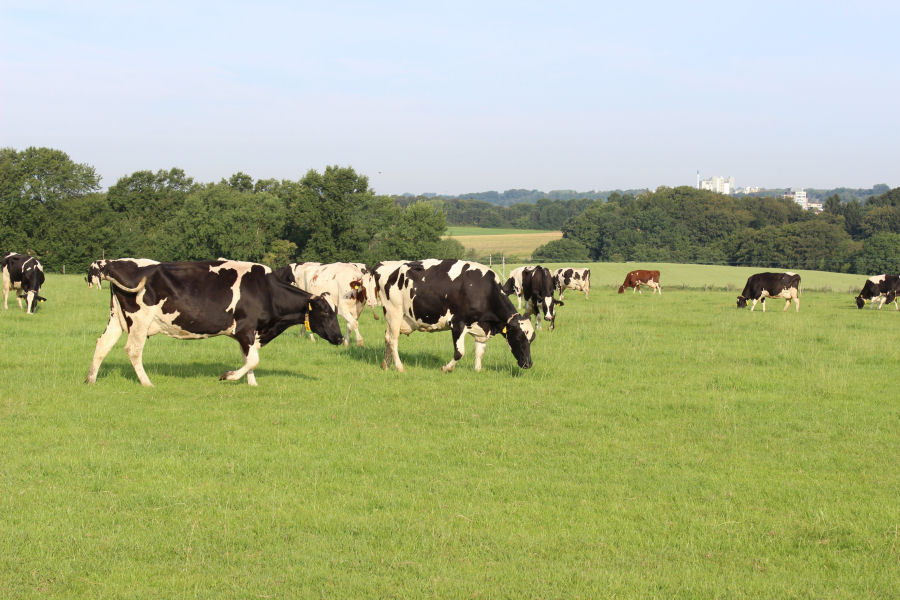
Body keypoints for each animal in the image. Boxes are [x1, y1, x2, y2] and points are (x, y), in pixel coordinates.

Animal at [85, 260, 344, 386]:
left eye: (336, 312)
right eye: (325, 313)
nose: (340, 338)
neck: (265, 290)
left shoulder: (249, 335)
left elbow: (249, 360)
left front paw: (251, 384)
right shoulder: (246, 329)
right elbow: (253, 360)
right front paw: (228, 376)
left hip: (117, 319)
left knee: (102, 344)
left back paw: (91, 379)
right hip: (139, 321)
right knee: (133, 350)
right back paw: (147, 383)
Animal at [372, 260, 536, 372]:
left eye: (532, 340)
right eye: (518, 338)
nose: (528, 364)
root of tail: (383, 265)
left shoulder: (481, 327)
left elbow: (480, 351)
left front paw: (478, 370)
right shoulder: (457, 323)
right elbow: (459, 352)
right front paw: (446, 368)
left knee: (387, 337)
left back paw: (385, 365)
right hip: (394, 312)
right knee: (393, 340)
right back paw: (399, 367)